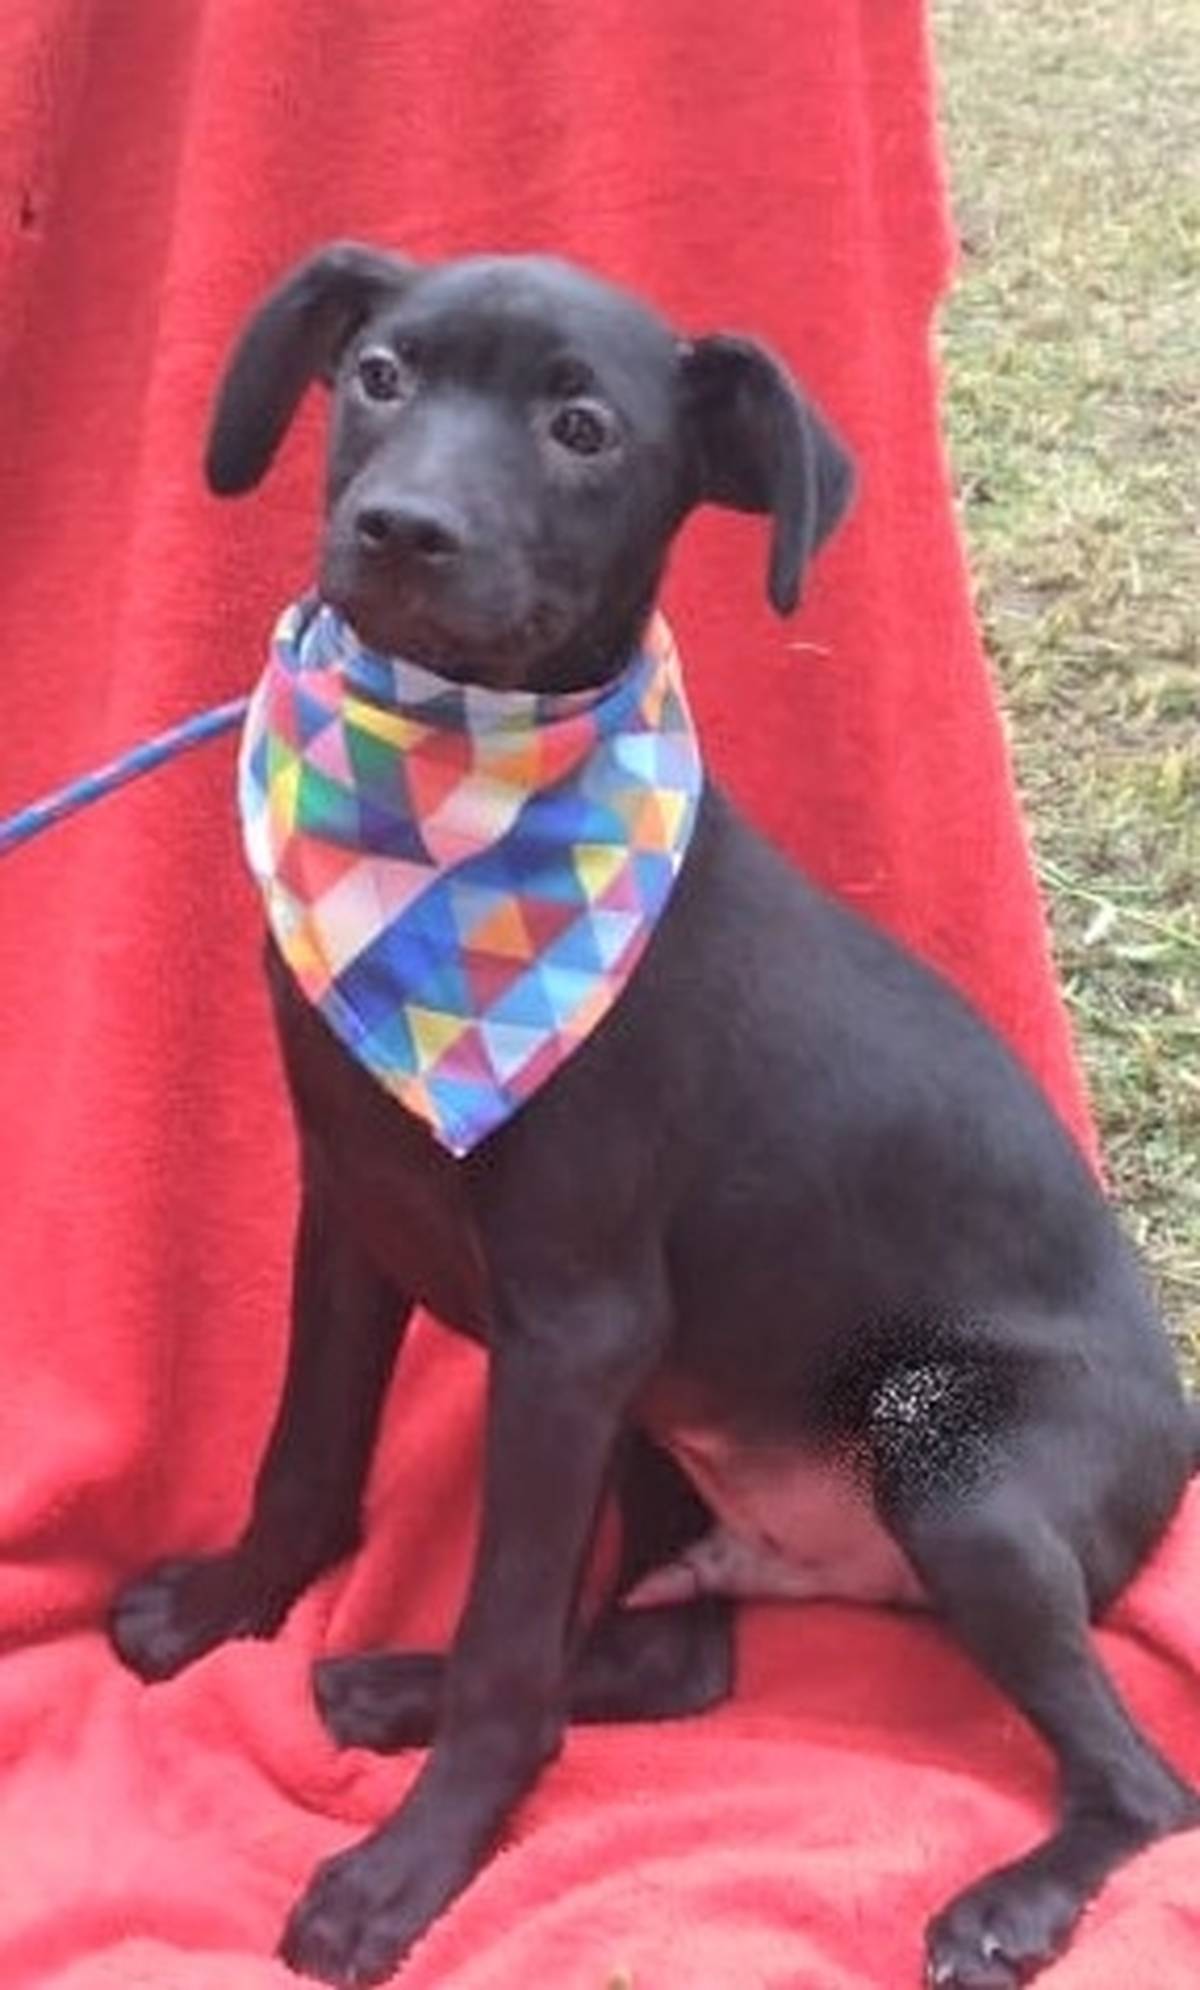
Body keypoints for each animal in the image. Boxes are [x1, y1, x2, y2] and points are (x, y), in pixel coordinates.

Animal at [109, 241, 1198, 1989]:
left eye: (582, 428)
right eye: (380, 377)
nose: (400, 527)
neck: (442, 821)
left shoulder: (575, 1328)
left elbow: (506, 1631)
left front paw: (408, 1870)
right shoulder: (349, 1213)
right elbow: (308, 1451)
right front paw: (234, 1607)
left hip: (954, 1465)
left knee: (1145, 1785)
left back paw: (1006, 1904)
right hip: (667, 1427)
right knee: (673, 1663)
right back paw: (391, 1682)